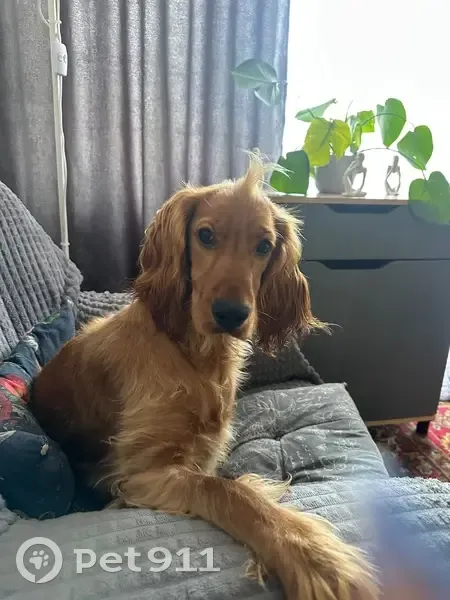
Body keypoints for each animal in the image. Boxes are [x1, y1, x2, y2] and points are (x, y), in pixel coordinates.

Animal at [32, 156, 378, 600]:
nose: (231, 314)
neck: (197, 356)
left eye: (263, 246)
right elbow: (229, 491)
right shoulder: (140, 474)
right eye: (206, 235)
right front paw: (314, 558)